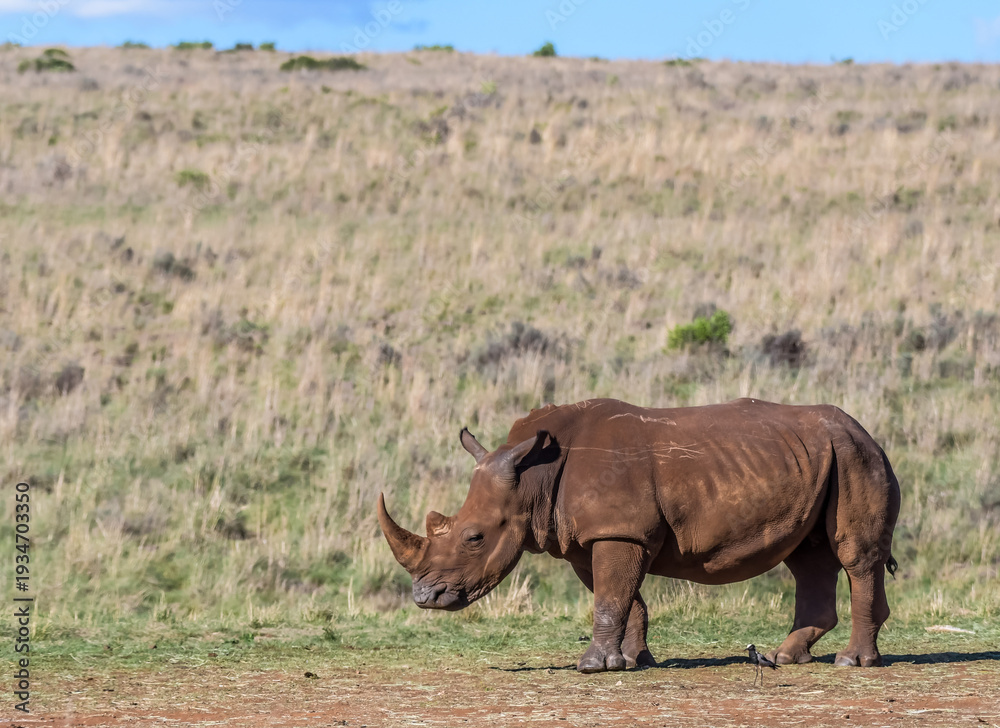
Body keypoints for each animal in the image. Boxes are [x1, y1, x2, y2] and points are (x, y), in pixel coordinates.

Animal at [378, 398, 900, 672]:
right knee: (808, 557)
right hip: (824, 459)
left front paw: (592, 667)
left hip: (856, 456)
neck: (532, 479)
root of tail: (867, 431)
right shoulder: (593, 537)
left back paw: (852, 662)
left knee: (855, 556)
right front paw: (632, 661)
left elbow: (611, 596)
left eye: (474, 538)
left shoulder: (619, 532)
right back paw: (785, 657)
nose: (424, 597)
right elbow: (623, 597)